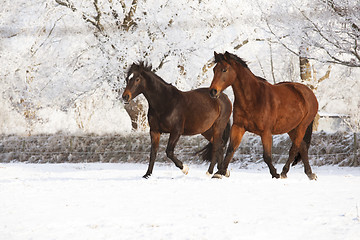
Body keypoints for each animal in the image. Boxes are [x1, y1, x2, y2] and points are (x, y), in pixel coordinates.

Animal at [210, 52, 320, 180]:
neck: (253, 98)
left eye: (224, 69)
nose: (213, 91)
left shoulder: (266, 132)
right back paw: (310, 173)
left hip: (302, 126)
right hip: (292, 128)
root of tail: (309, 92)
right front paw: (219, 173)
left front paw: (275, 174)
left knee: (294, 148)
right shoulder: (238, 127)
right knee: (302, 147)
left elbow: (267, 156)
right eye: (214, 70)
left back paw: (284, 172)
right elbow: (231, 149)